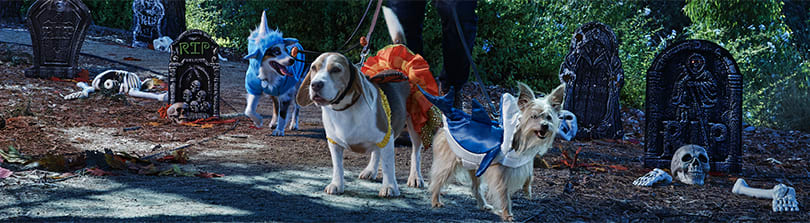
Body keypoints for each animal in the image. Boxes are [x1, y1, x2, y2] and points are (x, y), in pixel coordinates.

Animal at [296, 7, 422, 197]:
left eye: (336, 69)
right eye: (313, 68)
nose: (315, 84)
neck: (345, 109)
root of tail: (400, 47)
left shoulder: (387, 137)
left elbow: (388, 166)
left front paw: (389, 187)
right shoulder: (334, 143)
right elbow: (338, 166)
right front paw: (337, 184)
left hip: (415, 124)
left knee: (415, 153)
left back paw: (415, 177)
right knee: (376, 152)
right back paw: (370, 170)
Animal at [426, 82, 564, 221]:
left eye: (549, 117)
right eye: (534, 116)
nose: (545, 125)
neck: (522, 140)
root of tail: (443, 128)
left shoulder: (524, 161)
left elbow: (529, 176)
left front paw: (527, 190)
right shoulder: (500, 175)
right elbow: (504, 194)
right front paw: (507, 214)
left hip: (474, 166)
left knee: (475, 187)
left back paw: (483, 205)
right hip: (447, 164)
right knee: (437, 181)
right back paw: (435, 201)